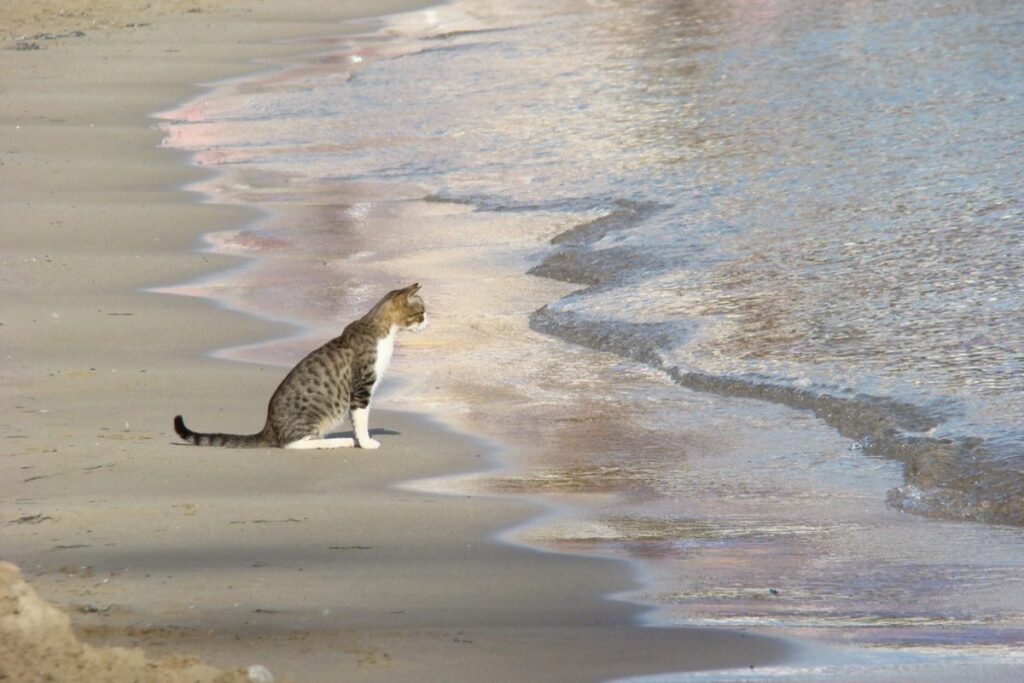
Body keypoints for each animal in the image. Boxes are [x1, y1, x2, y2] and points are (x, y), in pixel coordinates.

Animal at [172, 282, 423, 448]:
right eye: (421, 313)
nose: (427, 321)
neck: (382, 329)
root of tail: (269, 428)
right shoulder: (362, 387)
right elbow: (361, 421)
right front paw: (366, 442)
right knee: (293, 443)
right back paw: (337, 441)